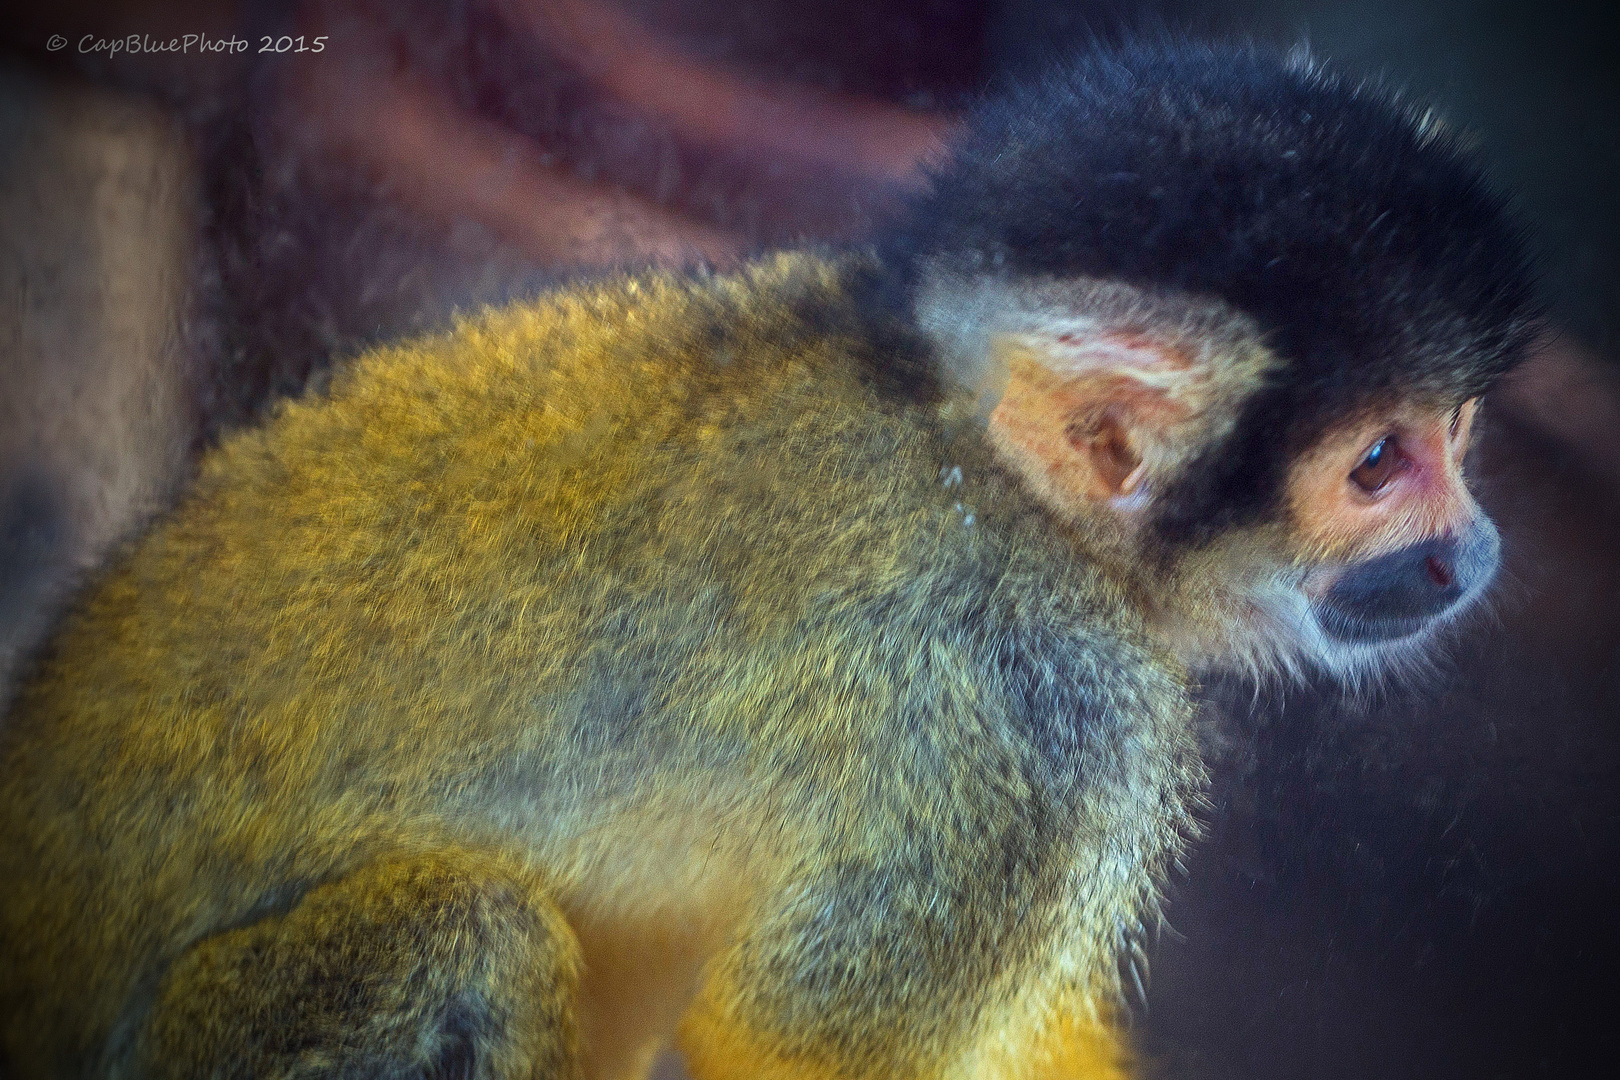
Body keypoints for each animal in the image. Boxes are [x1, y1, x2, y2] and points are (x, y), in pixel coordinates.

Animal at [0, 40, 1529, 1075]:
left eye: (1459, 434)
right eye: (1378, 467)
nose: (1474, 548)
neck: (977, 460)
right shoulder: (1037, 709)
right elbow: (797, 1049)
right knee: (474, 941)